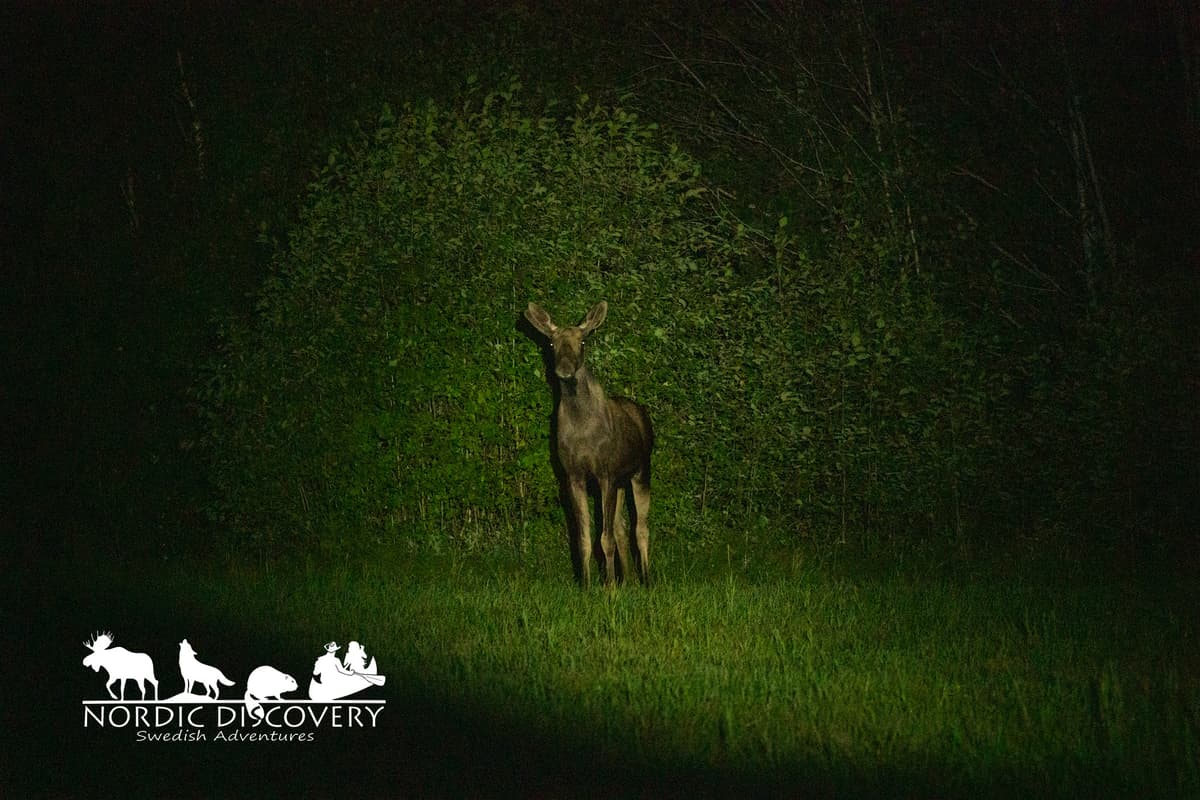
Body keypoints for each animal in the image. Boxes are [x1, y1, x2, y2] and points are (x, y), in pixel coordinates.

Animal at [525, 301, 654, 587]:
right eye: (551, 343)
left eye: (582, 341)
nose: (564, 369)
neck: (582, 429)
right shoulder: (574, 475)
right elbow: (583, 538)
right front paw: (587, 585)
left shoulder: (605, 474)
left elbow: (604, 539)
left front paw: (609, 588)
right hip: (620, 481)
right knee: (621, 527)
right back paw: (628, 579)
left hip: (641, 471)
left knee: (640, 528)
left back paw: (647, 580)